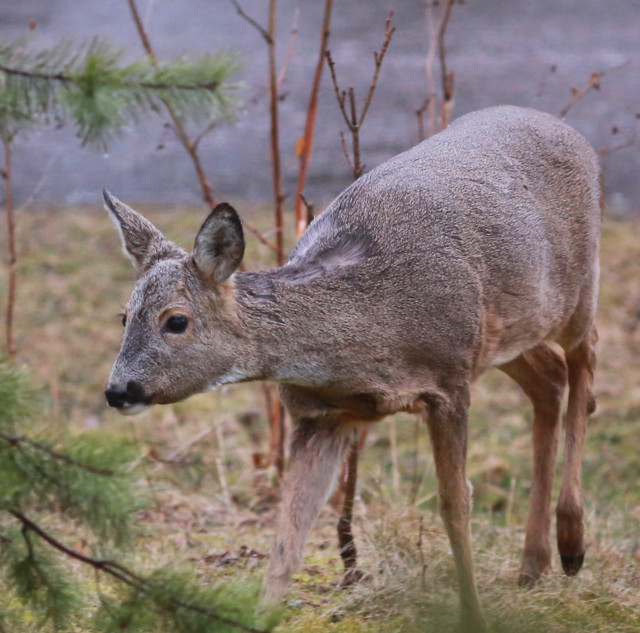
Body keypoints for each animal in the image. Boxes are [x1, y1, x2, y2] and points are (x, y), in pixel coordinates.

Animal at [104, 106, 600, 628]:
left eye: (176, 320)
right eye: (125, 315)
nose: (119, 390)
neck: (370, 333)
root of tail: (567, 130)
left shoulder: (449, 381)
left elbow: (455, 502)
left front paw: (474, 619)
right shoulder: (320, 415)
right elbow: (290, 530)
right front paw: (261, 615)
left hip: (576, 288)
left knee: (585, 363)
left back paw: (572, 543)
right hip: (507, 332)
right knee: (550, 380)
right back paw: (534, 563)